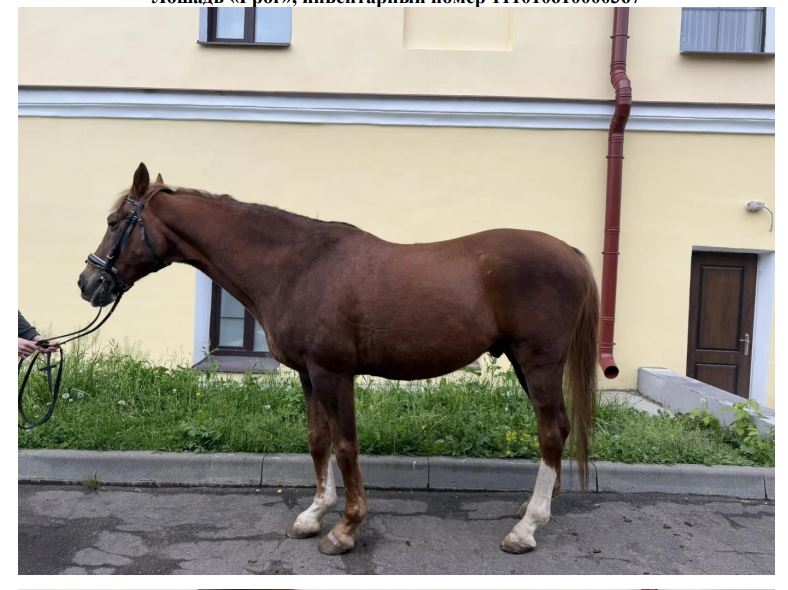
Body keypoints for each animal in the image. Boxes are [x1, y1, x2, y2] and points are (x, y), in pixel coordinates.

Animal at [78, 162, 599, 555]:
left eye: (113, 223)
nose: (88, 283)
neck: (297, 266)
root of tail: (571, 253)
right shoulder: (309, 375)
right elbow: (318, 440)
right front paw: (313, 515)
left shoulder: (334, 373)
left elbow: (346, 445)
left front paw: (346, 529)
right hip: (524, 364)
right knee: (560, 428)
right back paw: (536, 507)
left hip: (538, 363)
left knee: (550, 432)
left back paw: (526, 529)